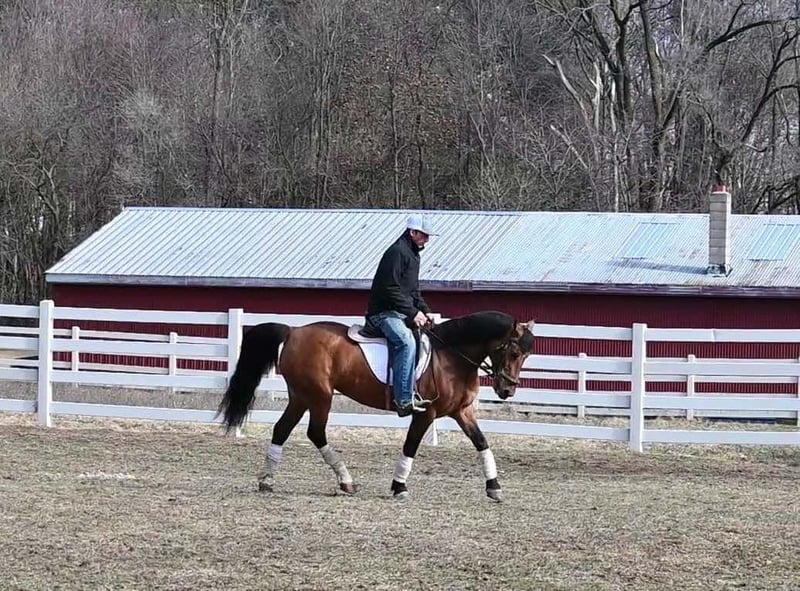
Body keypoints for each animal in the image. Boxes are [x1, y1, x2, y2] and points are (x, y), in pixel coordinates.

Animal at [217, 310, 535, 501]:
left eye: (526, 356)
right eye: (514, 352)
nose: (507, 390)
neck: (451, 357)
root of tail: (293, 331)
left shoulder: (462, 412)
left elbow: (482, 442)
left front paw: (494, 487)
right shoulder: (426, 413)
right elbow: (411, 445)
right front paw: (400, 487)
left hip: (301, 396)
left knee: (282, 429)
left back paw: (267, 479)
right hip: (320, 396)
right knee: (315, 433)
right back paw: (346, 481)